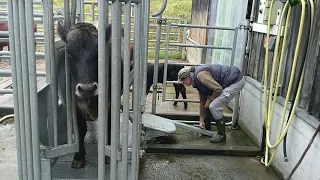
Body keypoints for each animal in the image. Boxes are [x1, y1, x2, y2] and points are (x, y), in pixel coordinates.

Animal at [57, 20, 128, 169]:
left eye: (99, 54)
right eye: (69, 53)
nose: (87, 88)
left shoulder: (110, 104)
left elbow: (109, 127)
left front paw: (109, 155)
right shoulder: (75, 108)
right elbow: (80, 130)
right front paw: (79, 156)